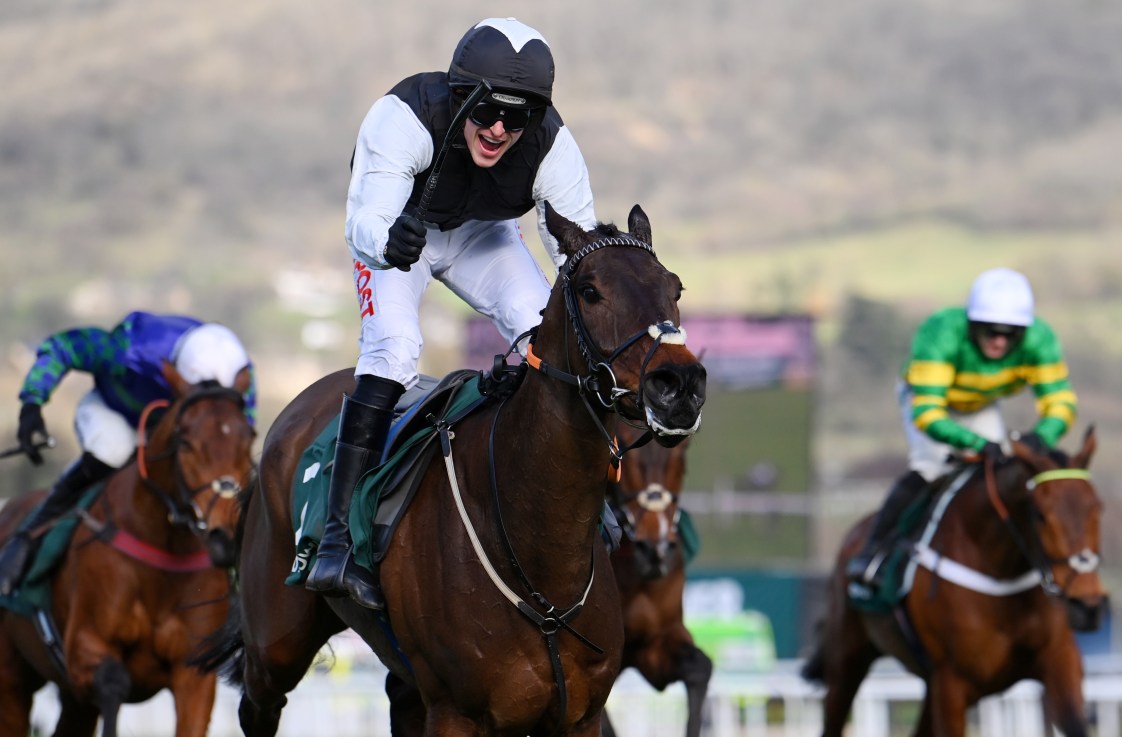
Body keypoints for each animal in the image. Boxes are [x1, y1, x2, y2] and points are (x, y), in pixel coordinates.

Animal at [0, 367, 254, 735]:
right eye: (185, 441)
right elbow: (113, 682)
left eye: (249, 438)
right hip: (13, 678)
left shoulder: (193, 673)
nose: (225, 533)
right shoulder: (84, 651)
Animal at [803, 428, 1108, 735]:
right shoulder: (952, 682)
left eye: (1097, 508)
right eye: (1040, 515)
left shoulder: (1060, 661)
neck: (1000, 575)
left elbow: (1075, 723)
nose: (1086, 606)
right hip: (846, 663)